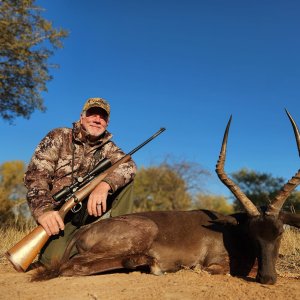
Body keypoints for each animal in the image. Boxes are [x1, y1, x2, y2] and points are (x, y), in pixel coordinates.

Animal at [35, 110, 300, 284]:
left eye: (279, 232)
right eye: (253, 234)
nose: (267, 278)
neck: (233, 230)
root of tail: (83, 230)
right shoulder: (215, 264)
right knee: (72, 266)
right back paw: (151, 265)